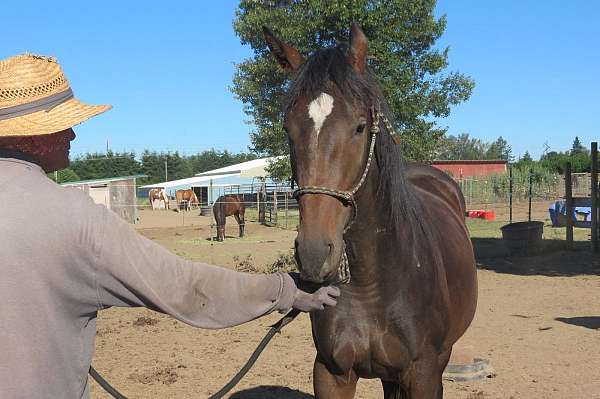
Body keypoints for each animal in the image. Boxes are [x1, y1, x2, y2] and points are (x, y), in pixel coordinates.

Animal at [264, 25, 478, 399]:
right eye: (288, 129)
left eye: (360, 126)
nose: (313, 253)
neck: (373, 283)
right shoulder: (331, 372)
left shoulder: (423, 373)